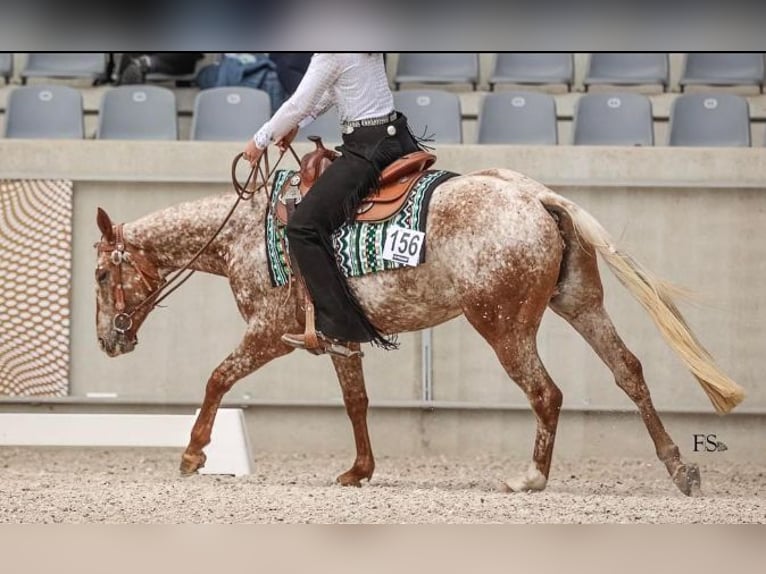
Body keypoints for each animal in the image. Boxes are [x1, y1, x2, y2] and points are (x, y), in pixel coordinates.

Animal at [94, 154, 744, 500]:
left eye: (101, 273)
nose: (108, 340)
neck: (247, 234)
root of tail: (537, 198)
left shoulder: (266, 331)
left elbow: (217, 378)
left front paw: (193, 453)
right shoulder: (341, 340)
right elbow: (356, 403)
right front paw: (359, 470)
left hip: (504, 327)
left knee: (546, 392)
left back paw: (530, 477)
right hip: (581, 305)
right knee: (628, 371)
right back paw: (680, 468)